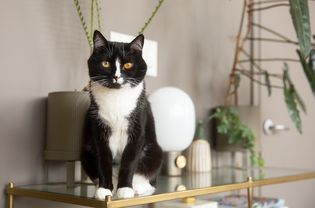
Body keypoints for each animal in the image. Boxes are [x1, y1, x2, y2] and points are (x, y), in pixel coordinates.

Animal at [80, 30, 164, 200]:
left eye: (128, 64)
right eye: (105, 63)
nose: (116, 76)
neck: (116, 97)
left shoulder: (138, 128)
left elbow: (129, 160)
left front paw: (125, 189)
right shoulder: (99, 130)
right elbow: (103, 160)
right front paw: (105, 189)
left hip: (155, 151)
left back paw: (138, 187)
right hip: (85, 152)